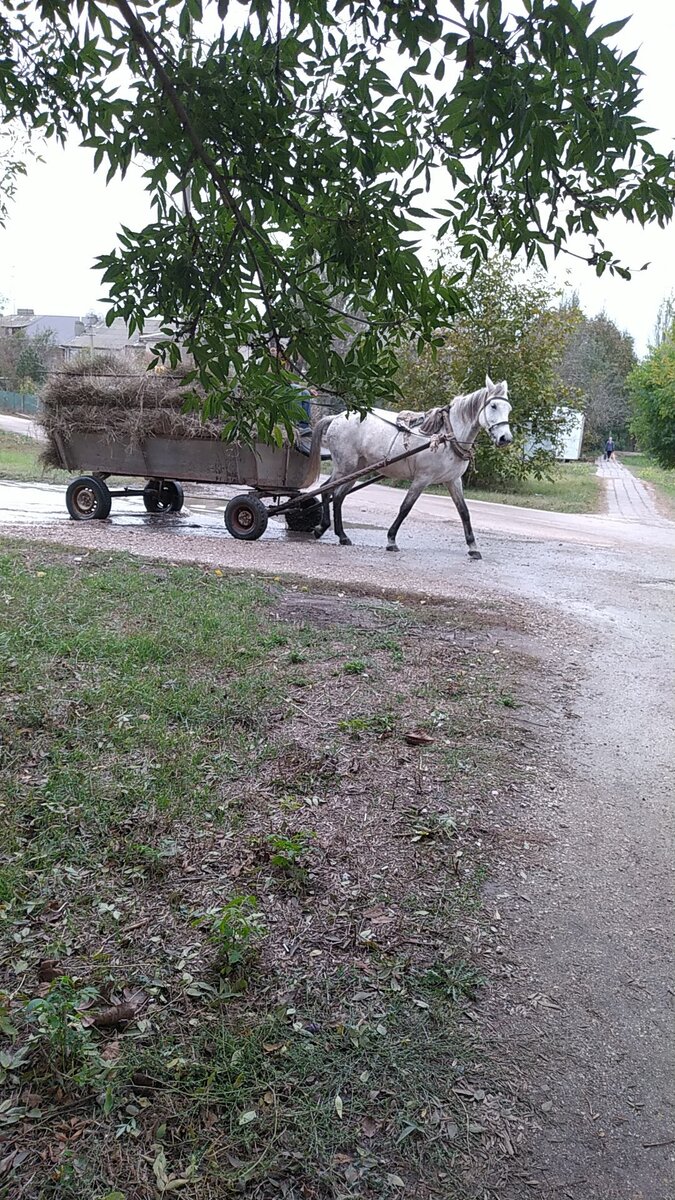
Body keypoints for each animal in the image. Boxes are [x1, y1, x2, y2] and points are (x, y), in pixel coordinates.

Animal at [300, 376, 509, 559]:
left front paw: (473, 547)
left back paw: (338, 534)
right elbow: (405, 508)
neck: (447, 435)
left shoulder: (453, 480)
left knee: (338, 496)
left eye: (509, 408)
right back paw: (326, 529)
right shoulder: (422, 479)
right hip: (345, 466)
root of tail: (337, 417)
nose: (505, 438)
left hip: (356, 468)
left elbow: (464, 512)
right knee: (327, 490)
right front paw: (391, 540)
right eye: (493, 406)